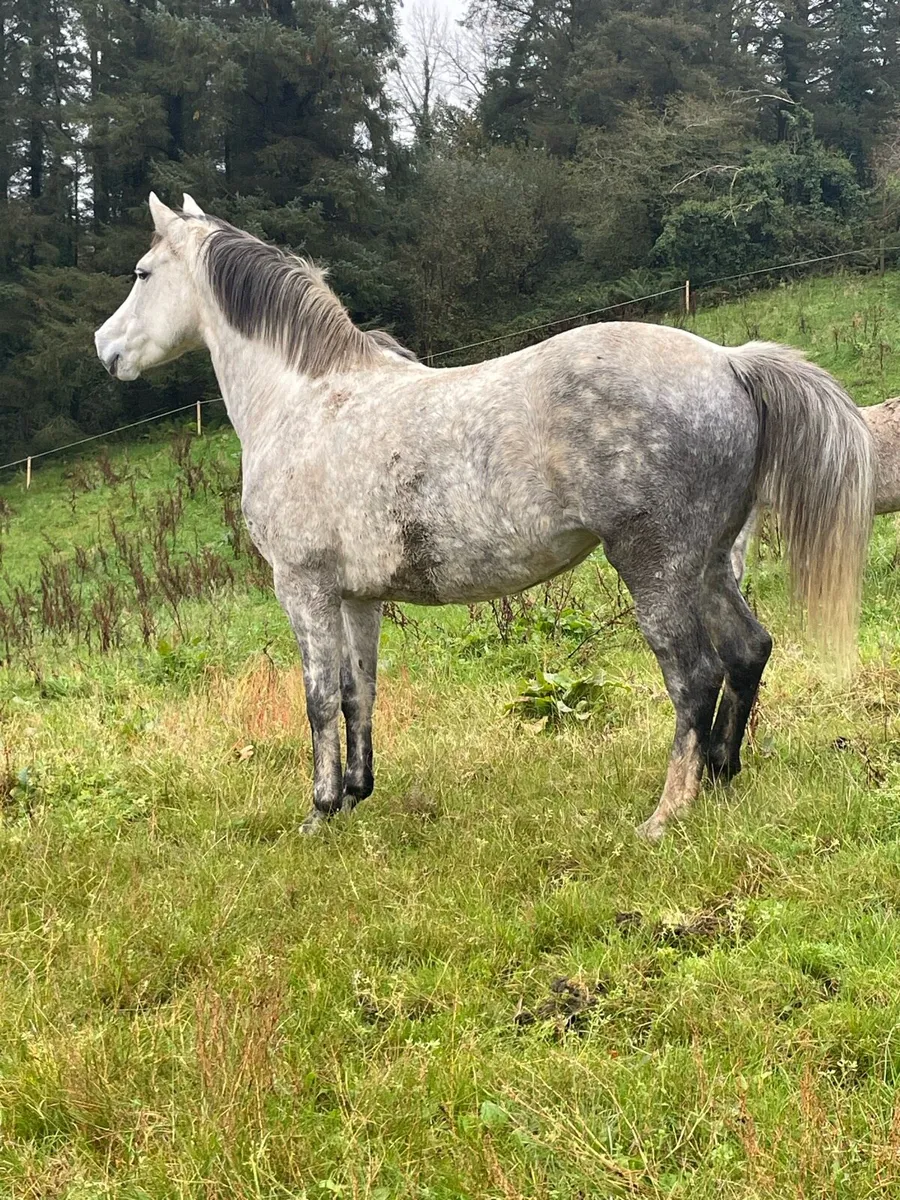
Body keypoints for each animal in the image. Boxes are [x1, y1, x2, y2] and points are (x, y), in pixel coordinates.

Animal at [94, 193, 874, 842]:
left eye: (141, 272)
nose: (107, 349)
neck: (309, 399)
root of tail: (728, 362)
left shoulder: (303, 587)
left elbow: (316, 700)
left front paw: (318, 814)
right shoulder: (357, 598)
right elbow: (356, 695)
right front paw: (355, 796)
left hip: (656, 568)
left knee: (696, 676)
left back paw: (667, 813)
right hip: (711, 565)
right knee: (747, 652)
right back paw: (719, 780)